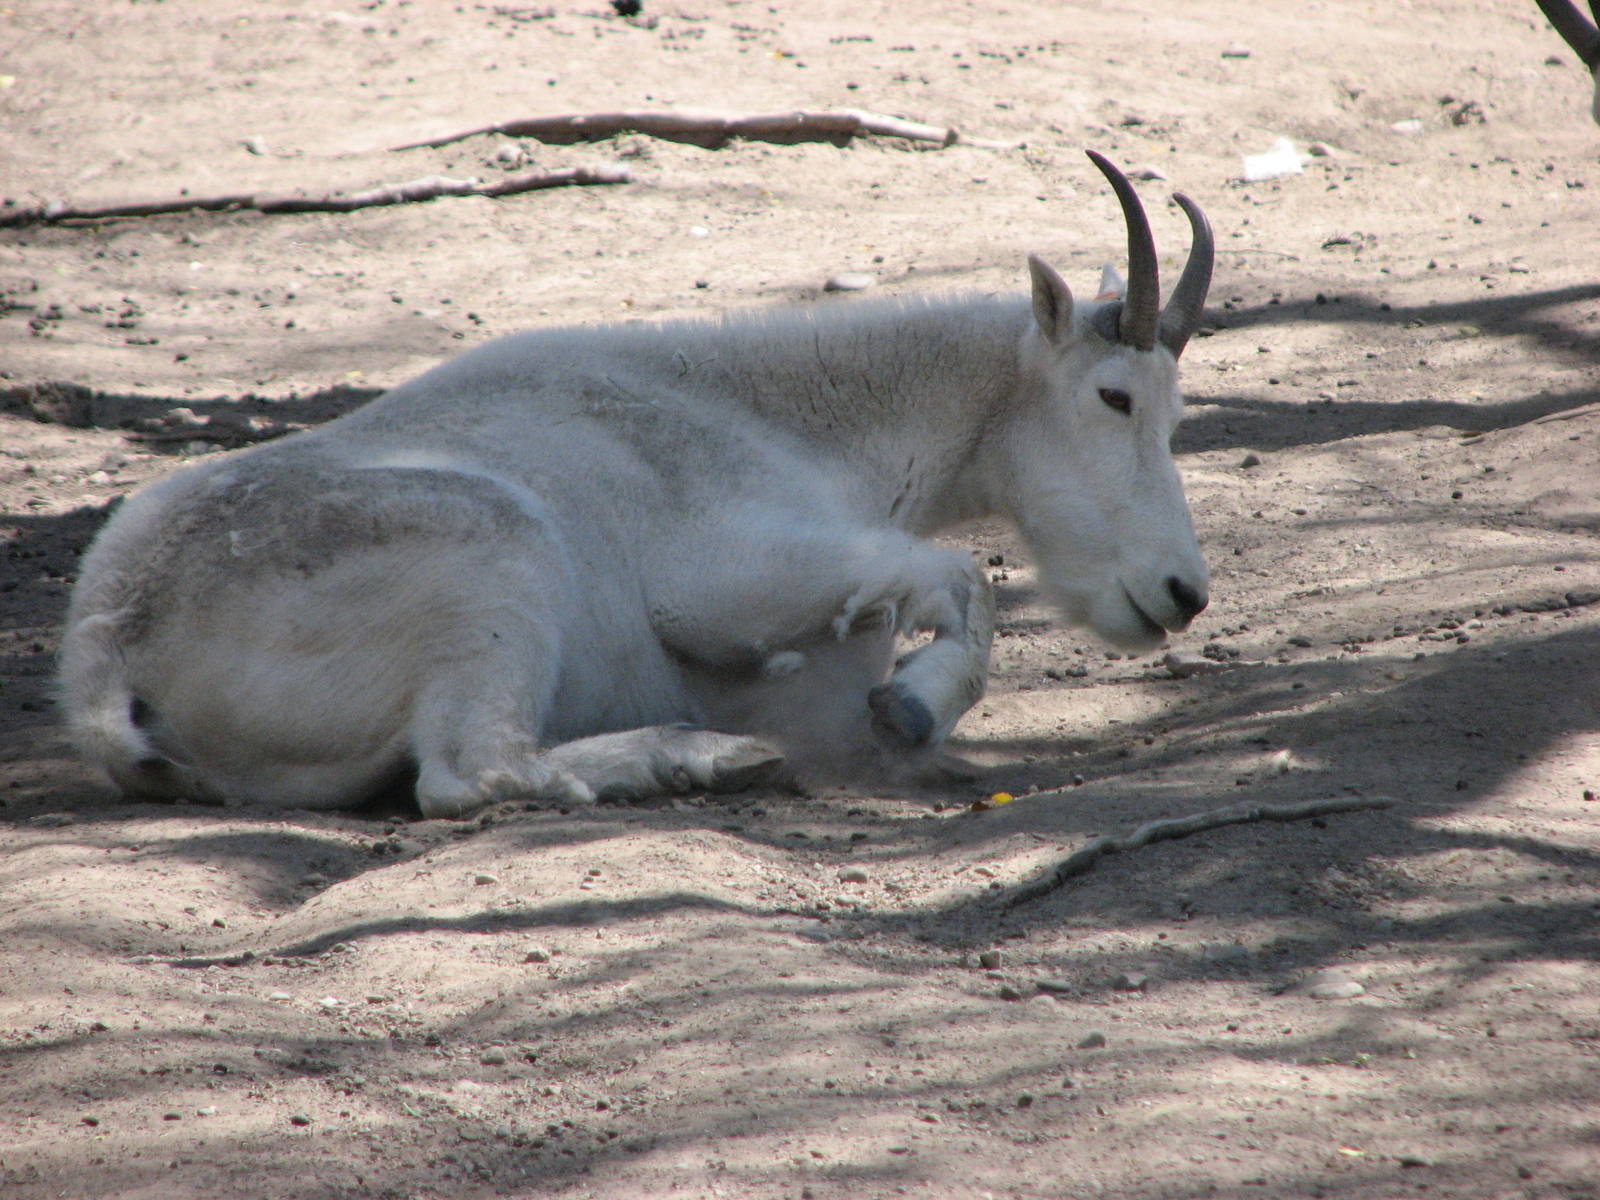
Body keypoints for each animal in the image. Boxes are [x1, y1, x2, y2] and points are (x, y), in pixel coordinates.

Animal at [58, 151, 1215, 817]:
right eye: (1114, 396)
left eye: (1172, 412)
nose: (1181, 593)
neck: (781, 412)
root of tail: (116, 652)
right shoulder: (719, 578)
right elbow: (958, 576)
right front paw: (912, 708)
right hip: (496, 562)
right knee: (469, 774)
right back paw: (696, 759)